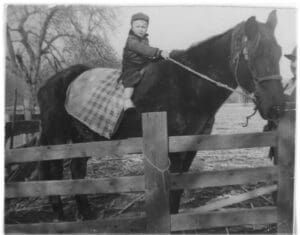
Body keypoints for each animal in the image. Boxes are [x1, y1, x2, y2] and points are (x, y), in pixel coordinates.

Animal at [37, 10, 284, 220]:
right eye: (253, 54)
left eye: (279, 52)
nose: (277, 107)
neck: (188, 84)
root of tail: (50, 83)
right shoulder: (173, 148)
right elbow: (171, 188)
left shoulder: (191, 146)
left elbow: (179, 187)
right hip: (57, 140)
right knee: (55, 173)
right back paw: (60, 217)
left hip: (83, 139)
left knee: (77, 171)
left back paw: (87, 215)